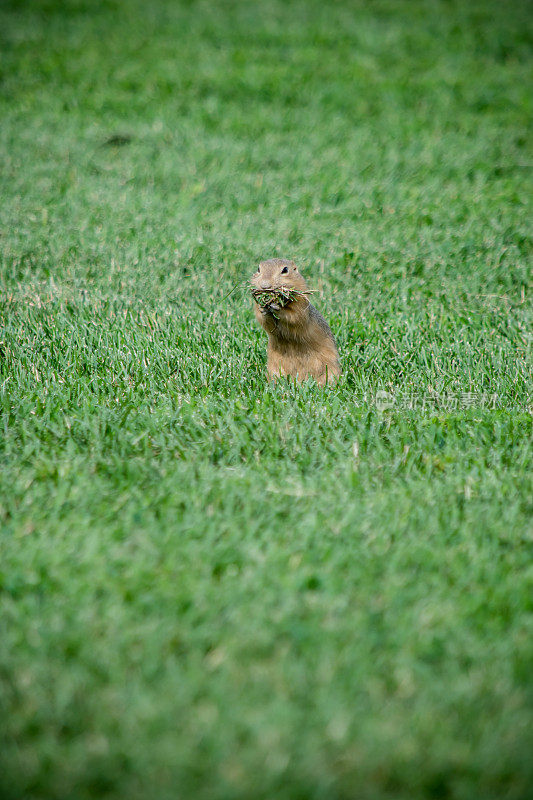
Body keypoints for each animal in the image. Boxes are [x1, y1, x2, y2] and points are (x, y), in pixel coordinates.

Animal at [250, 258, 340, 386]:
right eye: (258, 269)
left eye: (285, 270)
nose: (265, 286)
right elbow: (265, 322)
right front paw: (263, 307)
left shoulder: (301, 303)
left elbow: (295, 317)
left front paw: (276, 307)